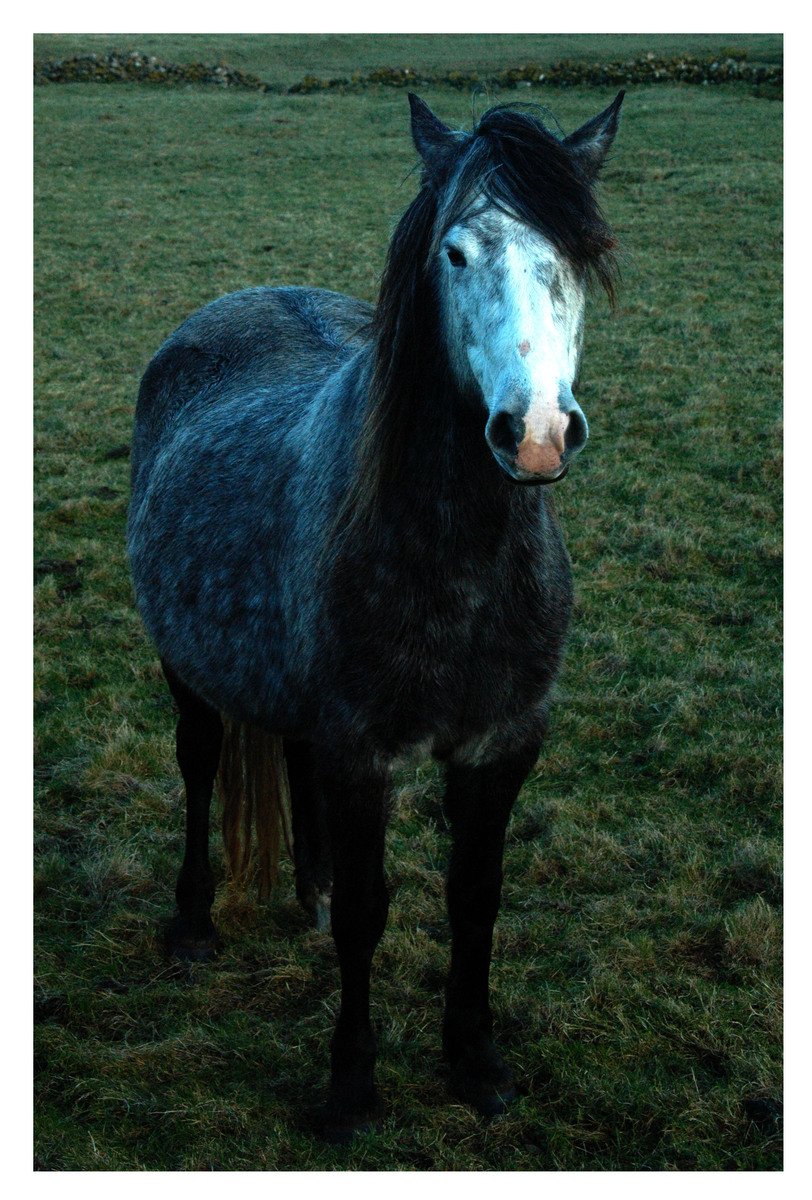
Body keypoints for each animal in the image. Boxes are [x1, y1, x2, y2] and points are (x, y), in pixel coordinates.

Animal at [125, 88, 618, 1137]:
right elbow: (368, 911)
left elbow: (476, 899)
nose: (537, 433)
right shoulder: (362, 751)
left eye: (578, 252)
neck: (460, 567)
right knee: (199, 765)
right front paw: (351, 1089)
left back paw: (303, 889)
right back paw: (191, 924)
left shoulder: (505, 743)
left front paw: (475, 1062)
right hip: (186, 668)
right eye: (455, 254)